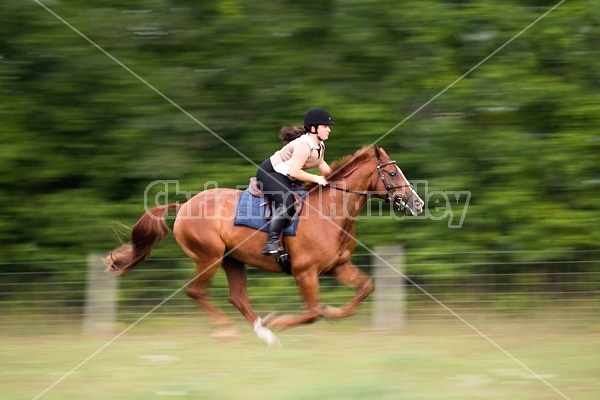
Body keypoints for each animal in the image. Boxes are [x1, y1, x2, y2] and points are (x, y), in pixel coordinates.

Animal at [104, 145, 422, 346]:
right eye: (392, 174)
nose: (417, 204)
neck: (331, 212)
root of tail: (183, 206)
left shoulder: (337, 267)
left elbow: (364, 288)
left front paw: (333, 312)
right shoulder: (305, 273)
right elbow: (312, 312)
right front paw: (280, 321)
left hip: (232, 260)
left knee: (237, 298)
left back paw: (263, 333)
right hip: (209, 258)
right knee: (196, 291)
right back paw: (229, 331)